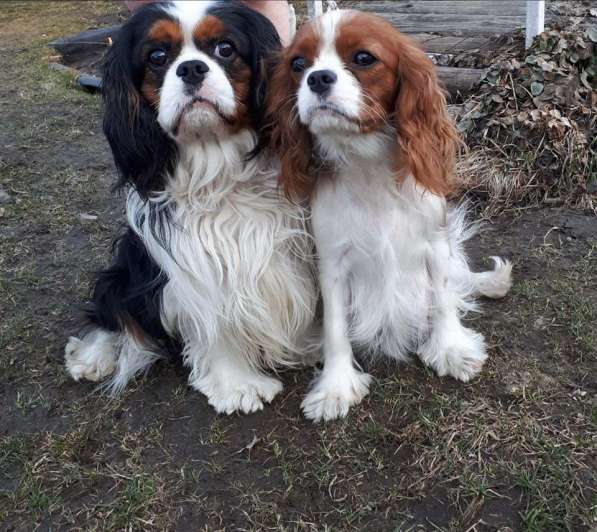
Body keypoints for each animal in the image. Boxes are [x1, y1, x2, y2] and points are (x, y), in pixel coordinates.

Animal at [65, 1, 316, 416]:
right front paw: (237, 385)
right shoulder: (194, 259)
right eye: (157, 57)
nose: (192, 68)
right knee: (112, 308)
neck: (216, 160)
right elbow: (213, 317)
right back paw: (92, 356)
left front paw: (310, 345)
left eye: (225, 49)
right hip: (126, 264)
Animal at [266, 10, 512, 422]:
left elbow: (444, 298)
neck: (367, 163)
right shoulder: (332, 263)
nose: (317, 77)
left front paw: (450, 349)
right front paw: (335, 387)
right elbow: (335, 328)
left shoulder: (434, 244)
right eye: (298, 64)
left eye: (364, 58)